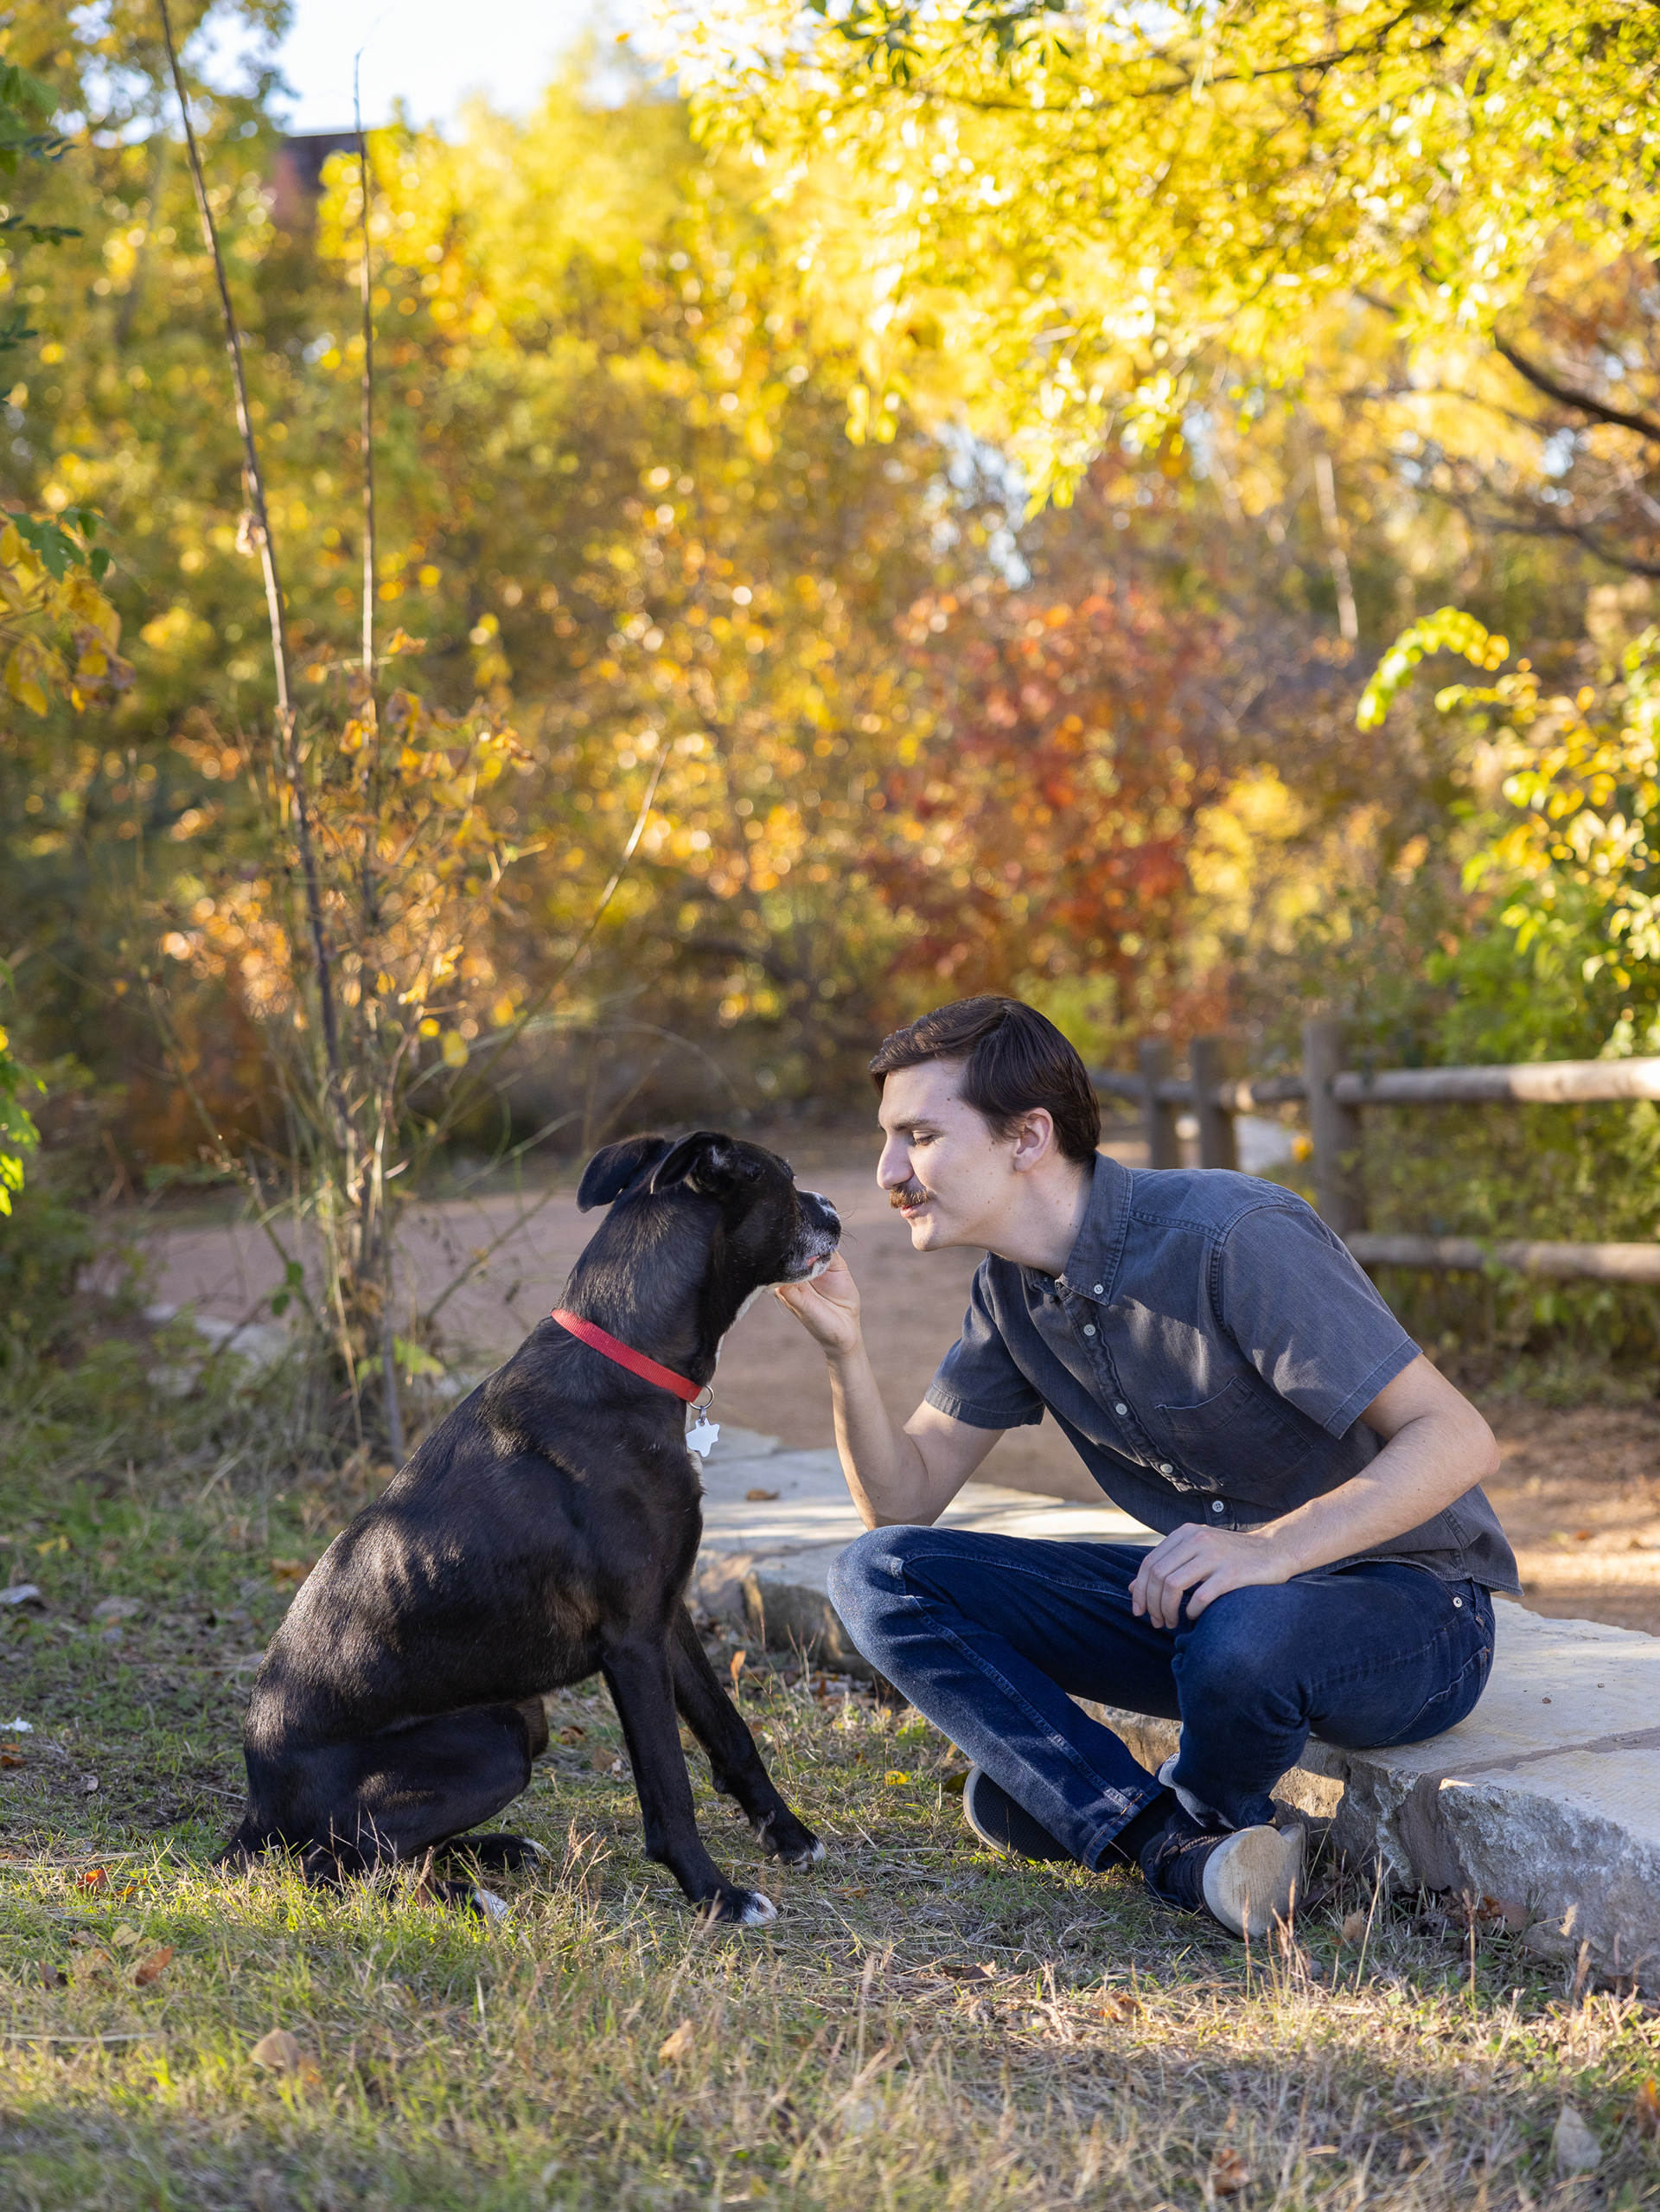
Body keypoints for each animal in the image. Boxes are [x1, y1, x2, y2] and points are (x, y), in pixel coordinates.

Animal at [218, 1131, 840, 1925]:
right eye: (785, 1180)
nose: (835, 1211)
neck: (625, 1363)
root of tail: (256, 1813)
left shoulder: (667, 1617)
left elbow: (729, 1729)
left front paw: (787, 1834)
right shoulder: (632, 1641)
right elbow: (669, 1787)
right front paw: (716, 1895)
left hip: (520, 1722)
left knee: (377, 1849)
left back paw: (495, 1852)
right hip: (499, 1737)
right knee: (338, 1860)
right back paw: (465, 1897)